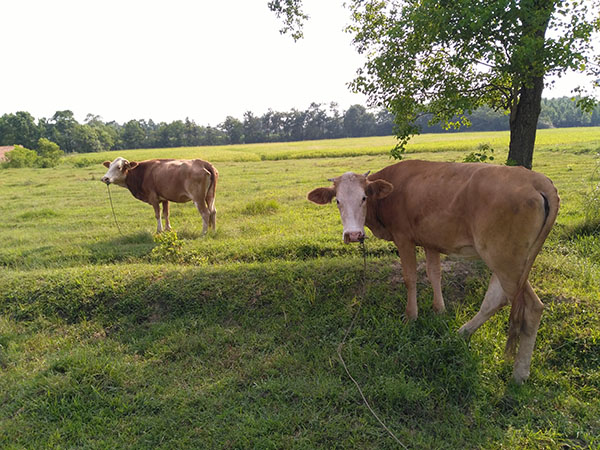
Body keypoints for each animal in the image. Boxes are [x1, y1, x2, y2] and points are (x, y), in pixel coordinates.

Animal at [308, 159, 560, 384]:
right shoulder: (430, 241)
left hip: (506, 259)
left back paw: (519, 373)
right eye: (337, 201)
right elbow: (434, 274)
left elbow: (410, 277)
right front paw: (439, 310)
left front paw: (411, 316)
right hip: (508, 262)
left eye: (364, 198)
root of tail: (536, 179)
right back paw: (462, 333)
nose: (352, 235)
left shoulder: (404, 238)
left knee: (532, 307)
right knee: (496, 300)